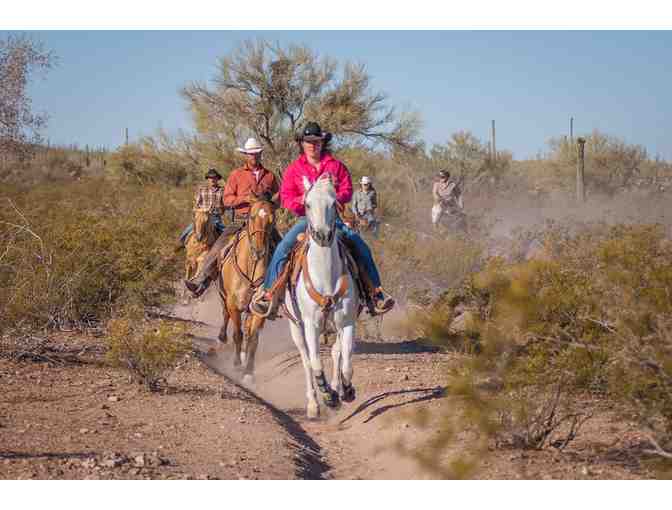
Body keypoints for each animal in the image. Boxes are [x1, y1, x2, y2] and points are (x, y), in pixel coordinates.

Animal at [217, 193, 276, 384]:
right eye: (252, 217)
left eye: (272, 220)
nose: (259, 251)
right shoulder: (233, 304)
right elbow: (238, 334)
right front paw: (236, 364)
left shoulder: (260, 309)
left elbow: (254, 338)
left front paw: (248, 371)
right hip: (224, 297)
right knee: (225, 315)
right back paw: (222, 339)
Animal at [284, 176, 360, 418]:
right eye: (307, 204)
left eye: (333, 203)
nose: (323, 235)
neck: (326, 276)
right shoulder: (311, 324)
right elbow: (316, 363)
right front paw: (328, 396)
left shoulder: (346, 322)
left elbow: (346, 362)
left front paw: (345, 390)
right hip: (295, 326)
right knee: (306, 360)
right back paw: (313, 404)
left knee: (336, 353)